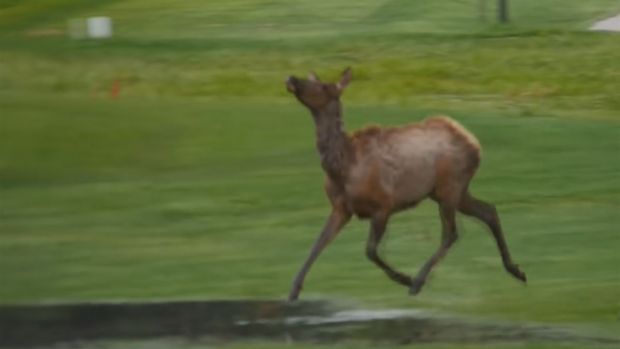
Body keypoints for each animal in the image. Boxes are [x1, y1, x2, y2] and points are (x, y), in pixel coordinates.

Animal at [284, 67, 524, 300]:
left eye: (324, 86)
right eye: (311, 79)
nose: (291, 78)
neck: (341, 169)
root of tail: (475, 143)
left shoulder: (383, 205)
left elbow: (370, 251)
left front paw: (404, 278)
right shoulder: (340, 208)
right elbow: (317, 245)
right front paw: (293, 290)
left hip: (450, 187)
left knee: (451, 233)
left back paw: (418, 281)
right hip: (451, 191)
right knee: (488, 211)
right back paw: (515, 270)